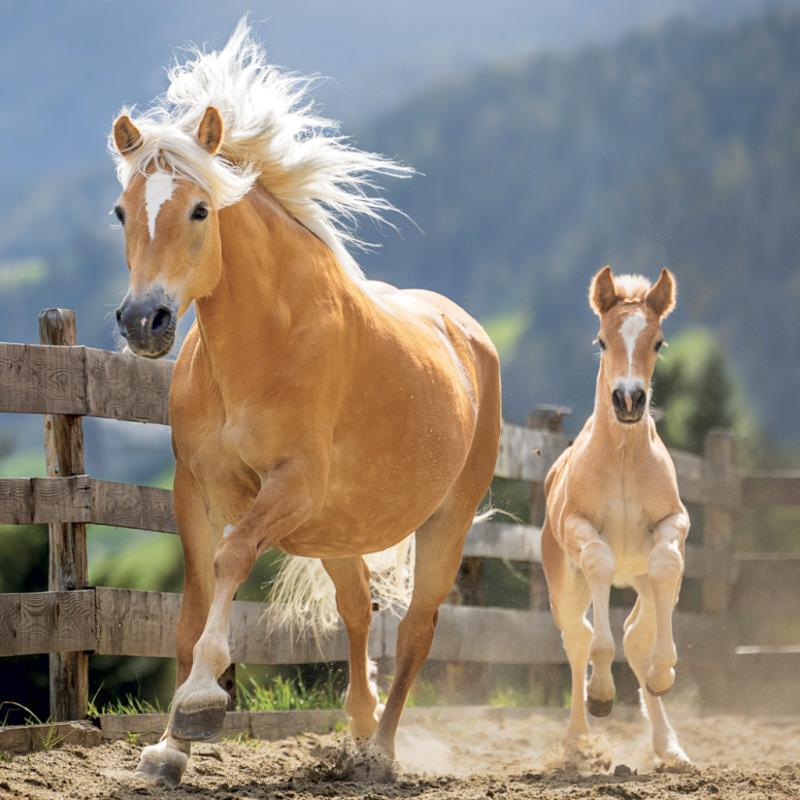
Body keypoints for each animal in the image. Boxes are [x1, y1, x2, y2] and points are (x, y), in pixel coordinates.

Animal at [108, 22, 501, 784]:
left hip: (446, 519)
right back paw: (359, 724)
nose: (145, 321)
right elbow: (192, 606)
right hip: (339, 530)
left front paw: (202, 703)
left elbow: (232, 559)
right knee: (357, 608)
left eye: (200, 208)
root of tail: (467, 333)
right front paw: (169, 748)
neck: (263, 343)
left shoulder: (290, 486)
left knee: (417, 626)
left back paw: (379, 753)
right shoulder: (195, 488)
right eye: (121, 213)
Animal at [541, 266, 690, 764]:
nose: (629, 400)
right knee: (578, 637)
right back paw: (576, 738)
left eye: (659, 341)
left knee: (636, 633)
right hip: (563, 586)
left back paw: (669, 744)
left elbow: (665, 563)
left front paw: (664, 672)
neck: (624, 457)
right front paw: (602, 693)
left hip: (643, 582)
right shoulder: (578, 527)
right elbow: (600, 563)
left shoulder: (674, 524)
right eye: (602, 341)